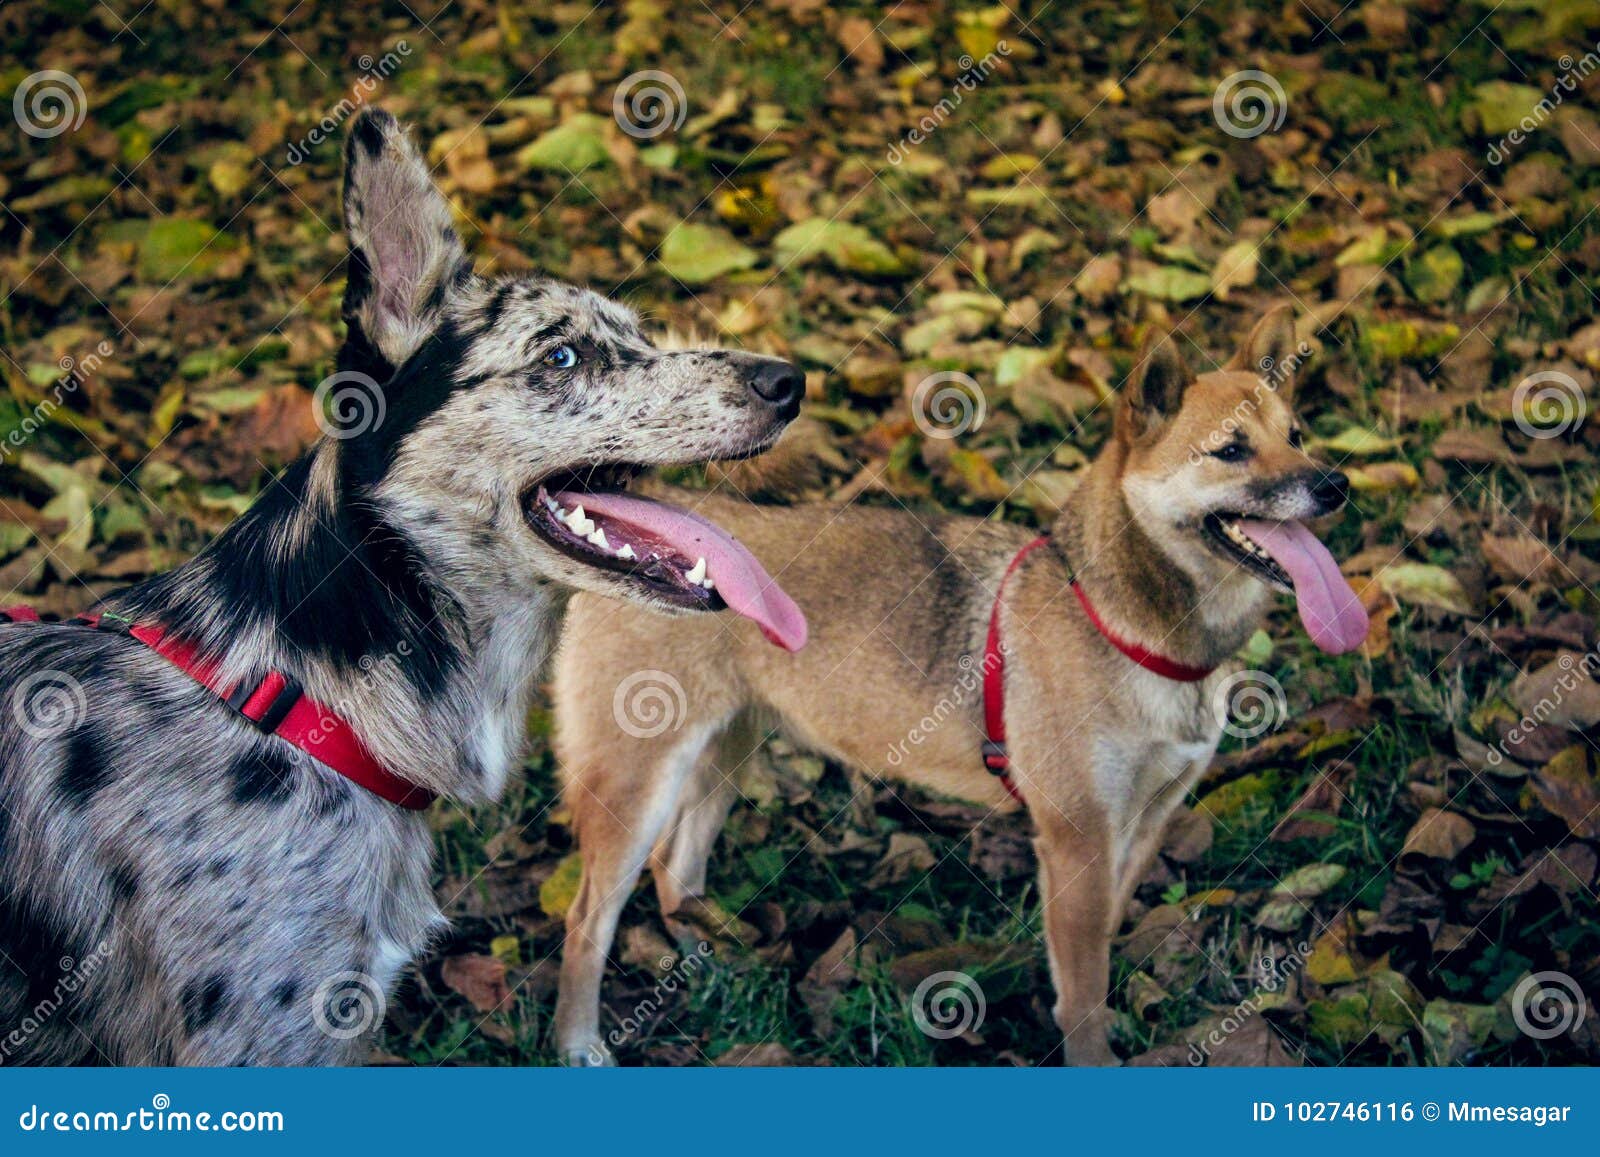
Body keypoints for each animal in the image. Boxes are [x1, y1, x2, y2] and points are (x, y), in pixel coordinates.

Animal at [547, 310, 1363, 1068]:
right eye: (1231, 449)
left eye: (1298, 434)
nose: (1334, 483)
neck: (1124, 626)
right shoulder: (1078, 840)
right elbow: (1084, 993)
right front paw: (1094, 1058)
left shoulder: (1143, 825)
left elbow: (1097, 954)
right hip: (636, 783)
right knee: (587, 919)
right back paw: (579, 1040)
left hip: (729, 750)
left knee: (674, 869)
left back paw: (713, 963)